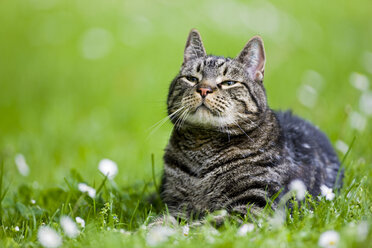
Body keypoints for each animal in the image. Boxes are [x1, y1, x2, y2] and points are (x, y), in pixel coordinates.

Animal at [158, 28, 342, 220]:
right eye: (192, 79)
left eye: (229, 83)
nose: (204, 89)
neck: (203, 147)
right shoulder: (176, 205)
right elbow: (165, 221)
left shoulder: (255, 206)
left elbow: (204, 225)